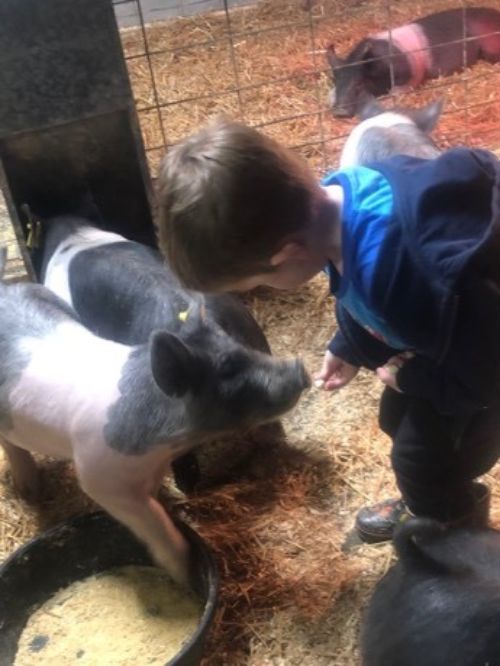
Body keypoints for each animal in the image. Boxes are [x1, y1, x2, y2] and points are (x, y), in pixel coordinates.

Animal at [0, 248, 308, 580]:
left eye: (242, 348)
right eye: (228, 370)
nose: (300, 369)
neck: (161, 448)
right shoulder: (99, 479)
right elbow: (153, 519)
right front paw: (183, 570)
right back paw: (29, 490)